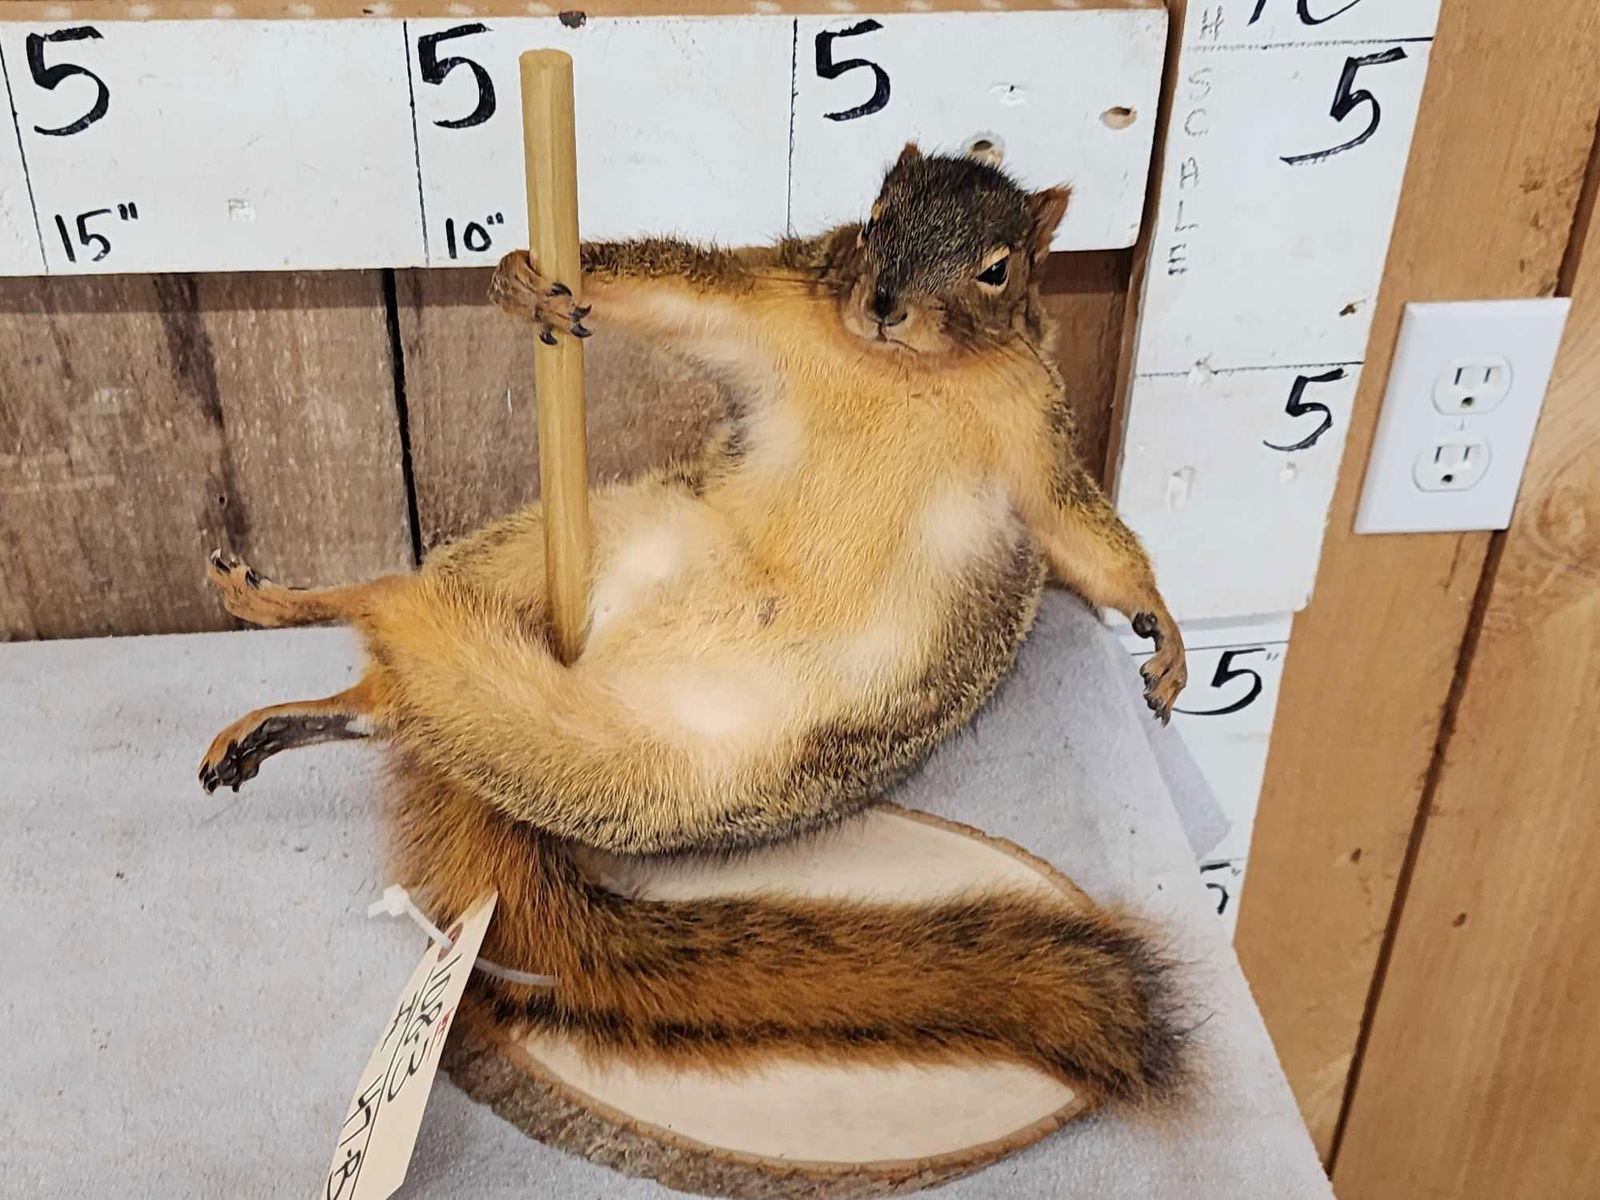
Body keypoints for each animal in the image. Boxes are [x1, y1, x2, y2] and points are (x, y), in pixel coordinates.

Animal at [195, 145, 1189, 1107]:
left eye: (998, 268)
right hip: (547, 551)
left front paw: (1164, 635)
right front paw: (521, 278)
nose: (883, 305)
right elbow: (672, 295)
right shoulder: (768, 302)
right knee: (387, 648)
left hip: (640, 766)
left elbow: (1086, 535)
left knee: (404, 693)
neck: (901, 368)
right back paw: (286, 624)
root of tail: (593, 664)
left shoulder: (1035, 435)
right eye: (874, 219)